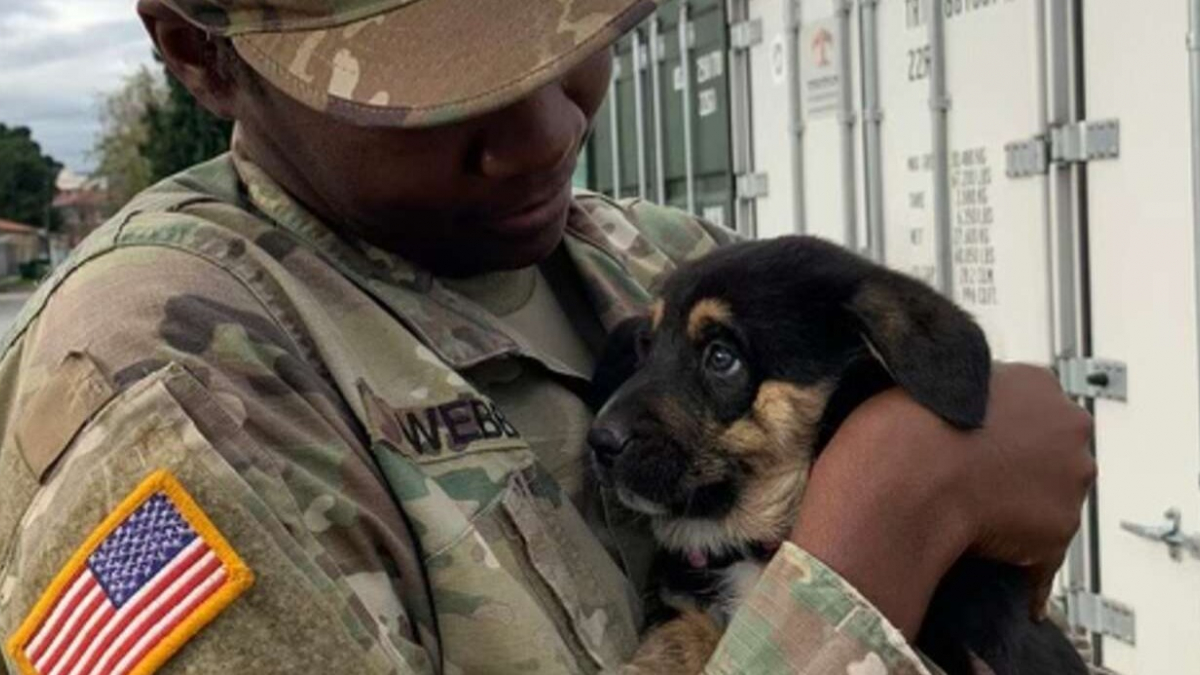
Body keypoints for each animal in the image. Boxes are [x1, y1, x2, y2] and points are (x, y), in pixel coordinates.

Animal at [590, 235, 1089, 672]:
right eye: (645, 348)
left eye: (721, 357)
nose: (599, 441)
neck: (756, 546)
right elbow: (685, 624)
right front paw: (655, 660)